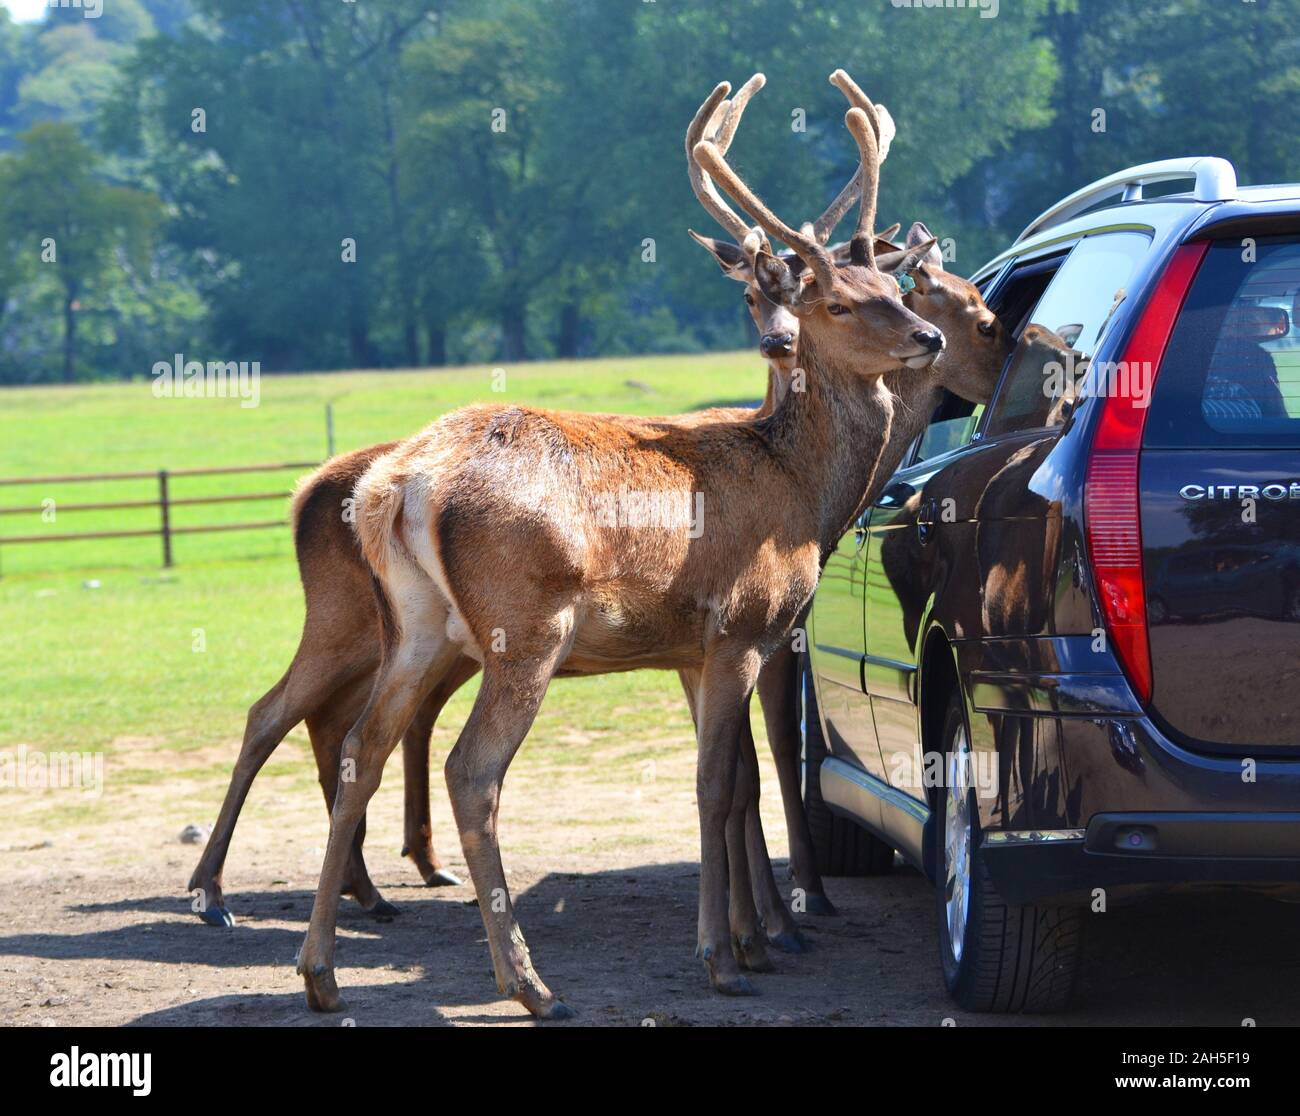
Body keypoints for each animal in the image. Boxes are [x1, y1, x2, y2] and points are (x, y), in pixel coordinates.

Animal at [291, 73, 952, 1020]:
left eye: (890, 287)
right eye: (837, 300)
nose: (927, 338)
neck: (800, 496)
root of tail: (402, 487)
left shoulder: (691, 649)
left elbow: (734, 783)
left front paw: (749, 944)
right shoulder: (740, 627)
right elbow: (714, 785)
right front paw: (721, 958)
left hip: (412, 626)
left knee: (360, 752)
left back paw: (320, 972)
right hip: (526, 625)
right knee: (469, 770)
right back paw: (531, 983)